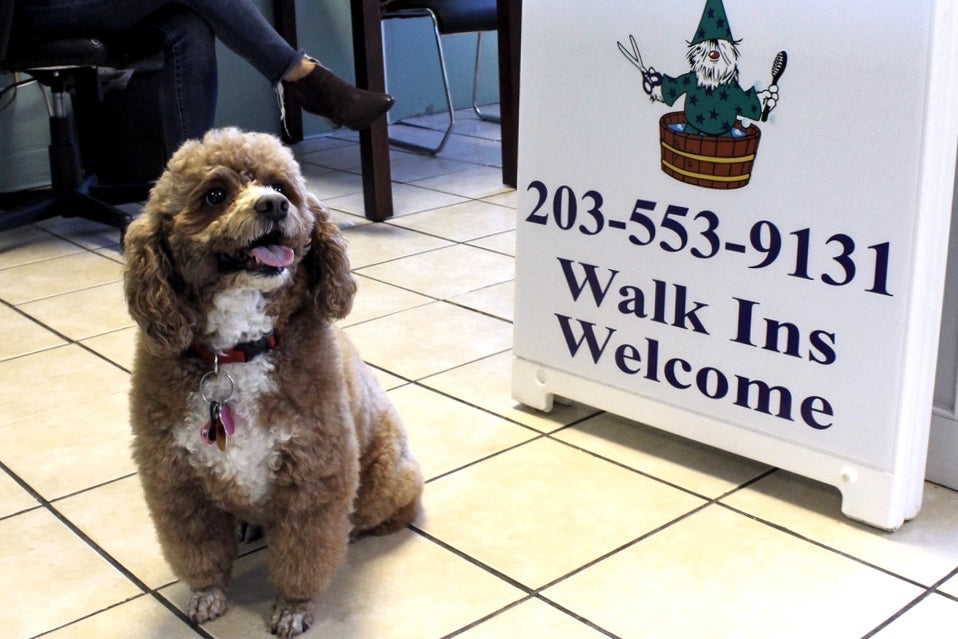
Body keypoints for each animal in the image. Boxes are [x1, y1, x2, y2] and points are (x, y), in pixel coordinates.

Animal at [122, 127, 422, 636]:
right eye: (215, 194)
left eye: (282, 187)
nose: (274, 206)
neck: (237, 351)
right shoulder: (176, 479)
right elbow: (197, 548)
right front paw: (207, 593)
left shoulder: (313, 474)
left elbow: (304, 553)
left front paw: (293, 606)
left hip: (385, 477)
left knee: (387, 511)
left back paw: (357, 529)